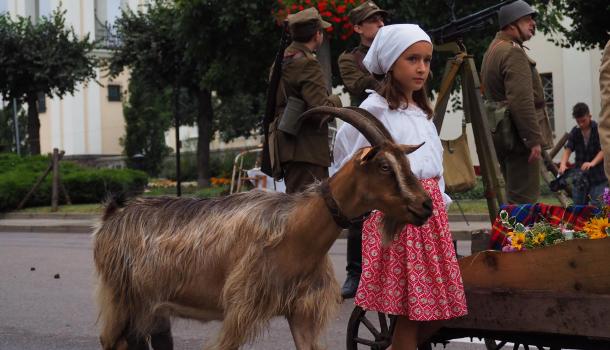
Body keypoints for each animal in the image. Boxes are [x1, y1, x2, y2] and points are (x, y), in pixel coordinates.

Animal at [92, 107, 430, 350]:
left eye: (405, 163)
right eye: (385, 167)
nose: (425, 205)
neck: (298, 229)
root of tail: (111, 216)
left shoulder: (301, 312)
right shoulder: (241, 308)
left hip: (151, 306)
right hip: (120, 295)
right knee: (111, 341)